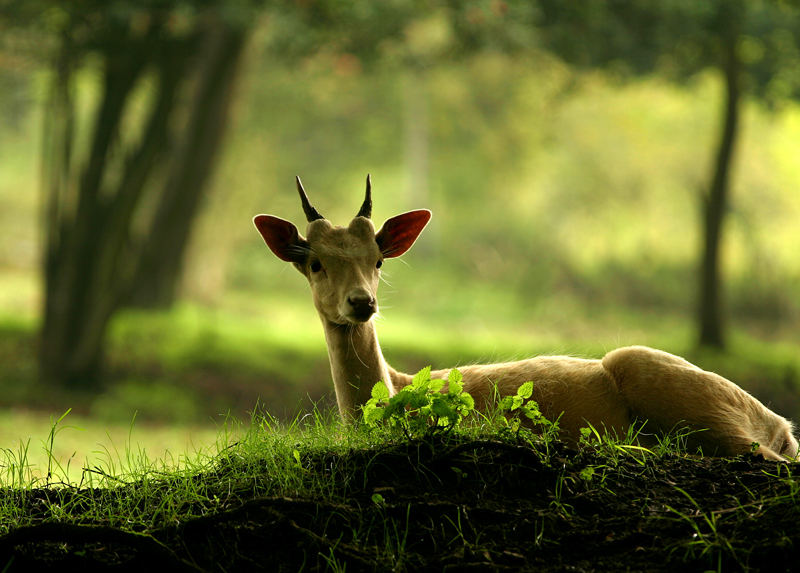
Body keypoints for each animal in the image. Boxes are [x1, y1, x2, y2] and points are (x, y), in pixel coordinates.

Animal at [253, 174, 796, 460]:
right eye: (314, 262)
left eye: (379, 261)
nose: (362, 302)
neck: (397, 392)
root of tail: (781, 425)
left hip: (674, 387)